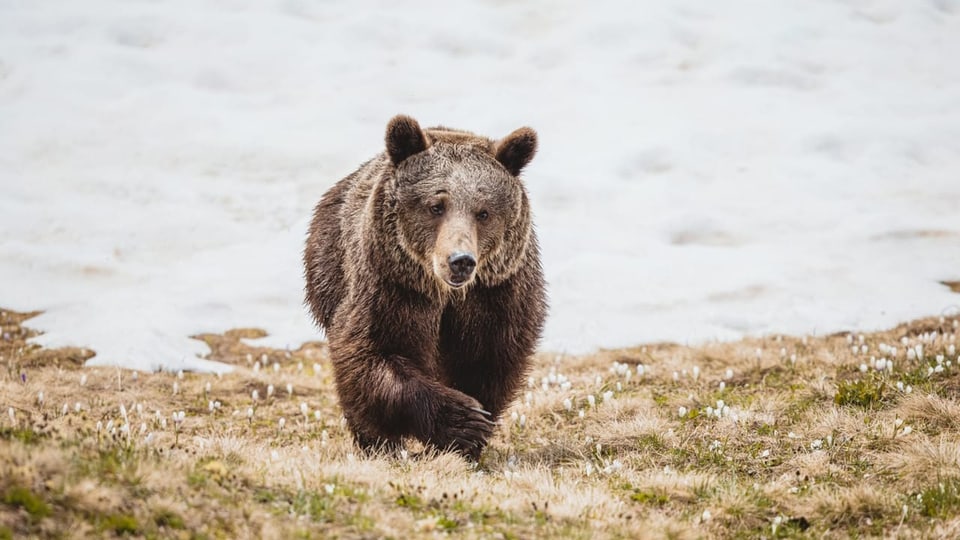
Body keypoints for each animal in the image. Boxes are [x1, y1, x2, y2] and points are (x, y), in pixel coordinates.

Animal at [306, 115, 548, 460]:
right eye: (436, 205)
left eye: (484, 211)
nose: (460, 261)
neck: (446, 295)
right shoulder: (391, 288)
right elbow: (372, 354)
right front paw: (463, 421)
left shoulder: (496, 296)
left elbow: (487, 361)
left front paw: (472, 434)